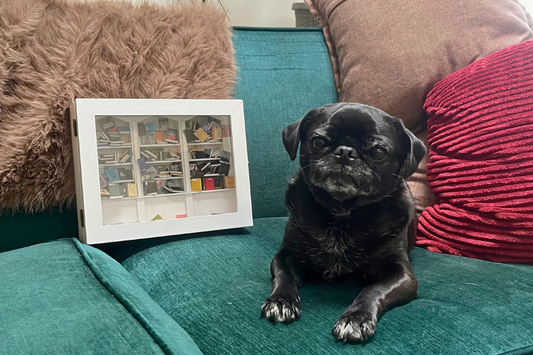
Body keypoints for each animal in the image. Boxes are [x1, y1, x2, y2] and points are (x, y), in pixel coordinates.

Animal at [260, 101, 426, 344]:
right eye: (318, 141)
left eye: (378, 152)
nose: (345, 152)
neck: (343, 213)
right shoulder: (285, 256)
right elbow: (284, 276)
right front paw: (281, 301)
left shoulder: (402, 275)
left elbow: (373, 290)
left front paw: (355, 318)